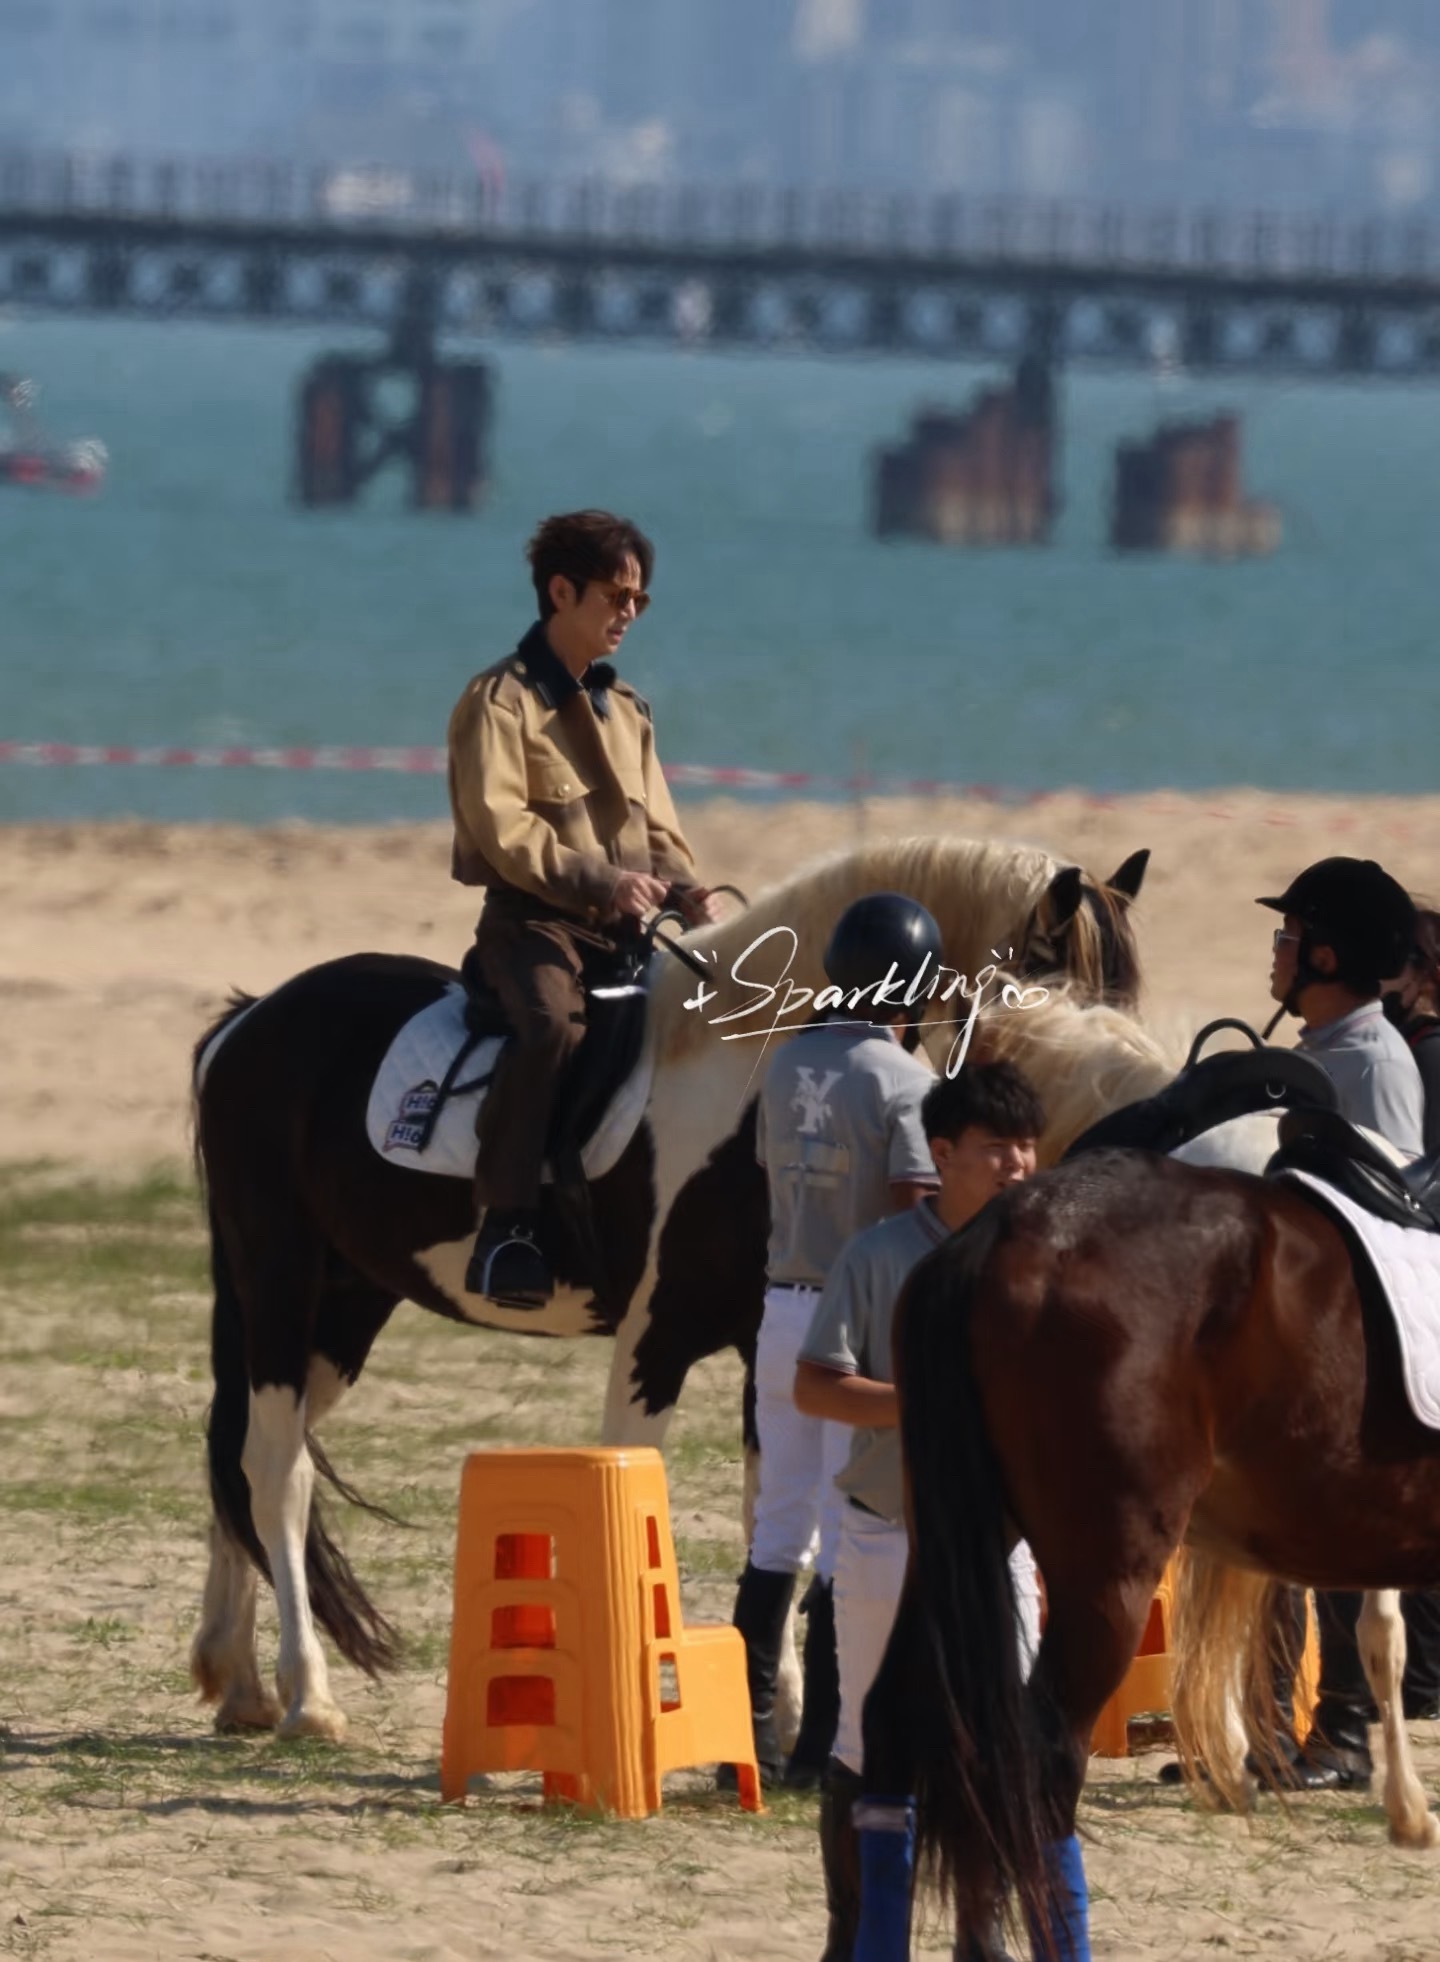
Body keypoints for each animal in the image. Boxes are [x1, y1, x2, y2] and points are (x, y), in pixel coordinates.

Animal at [187, 834, 1150, 1741]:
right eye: (1055, 977)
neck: (761, 1079)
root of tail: (250, 1020)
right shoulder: (659, 1334)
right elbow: (636, 1484)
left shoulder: (779, 1341)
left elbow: (778, 1520)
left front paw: (780, 1712)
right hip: (279, 1282)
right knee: (275, 1466)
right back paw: (306, 1695)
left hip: (346, 1308)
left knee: (243, 1452)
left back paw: (238, 1682)